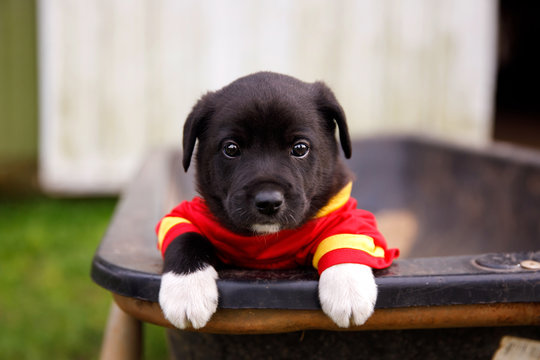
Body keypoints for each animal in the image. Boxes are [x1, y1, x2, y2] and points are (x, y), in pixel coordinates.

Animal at [154, 71, 398, 330]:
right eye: (231, 149)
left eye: (300, 148)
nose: (268, 201)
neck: (266, 239)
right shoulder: (184, 215)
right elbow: (185, 237)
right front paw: (186, 290)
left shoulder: (349, 216)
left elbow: (346, 239)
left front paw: (348, 289)